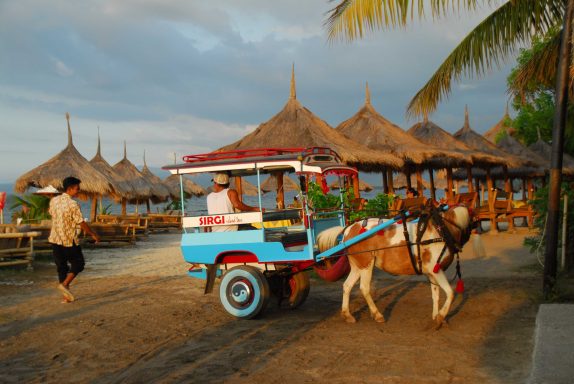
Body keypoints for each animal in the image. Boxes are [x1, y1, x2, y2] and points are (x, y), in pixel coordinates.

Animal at [318, 204, 474, 328]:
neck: (439, 229)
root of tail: (348, 229)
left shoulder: (432, 272)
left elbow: (435, 295)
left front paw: (436, 316)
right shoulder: (436, 271)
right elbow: (450, 293)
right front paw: (441, 316)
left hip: (358, 266)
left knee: (347, 286)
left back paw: (347, 314)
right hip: (367, 265)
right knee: (364, 288)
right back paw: (377, 314)